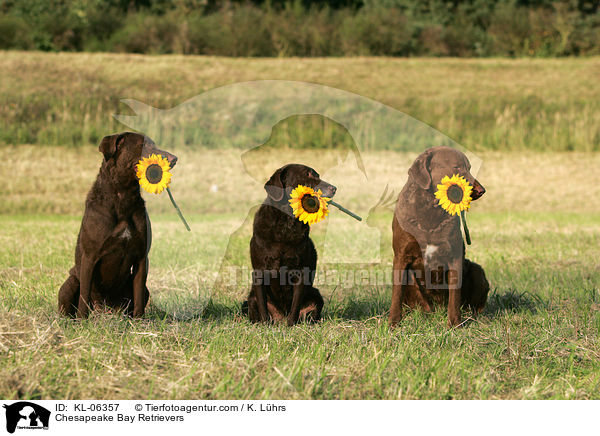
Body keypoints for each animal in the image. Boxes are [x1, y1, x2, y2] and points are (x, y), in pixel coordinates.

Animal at [57, 131, 177, 318]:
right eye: (144, 145)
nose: (174, 159)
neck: (123, 196)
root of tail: (105, 309)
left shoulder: (141, 256)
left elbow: (138, 293)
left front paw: (139, 320)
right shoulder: (89, 256)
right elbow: (84, 294)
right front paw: (82, 320)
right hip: (69, 283)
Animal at [245, 163, 338, 324]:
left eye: (318, 175)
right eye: (308, 174)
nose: (334, 188)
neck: (286, 224)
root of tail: (280, 317)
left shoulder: (300, 272)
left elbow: (295, 306)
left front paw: (290, 325)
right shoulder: (259, 272)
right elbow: (263, 307)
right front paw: (265, 325)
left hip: (316, 295)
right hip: (251, 298)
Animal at [392, 146, 490, 328]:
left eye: (469, 168)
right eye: (456, 167)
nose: (481, 190)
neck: (431, 209)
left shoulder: (454, 257)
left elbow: (454, 297)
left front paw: (454, 324)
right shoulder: (401, 256)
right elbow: (396, 294)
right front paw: (393, 323)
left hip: (476, 270)